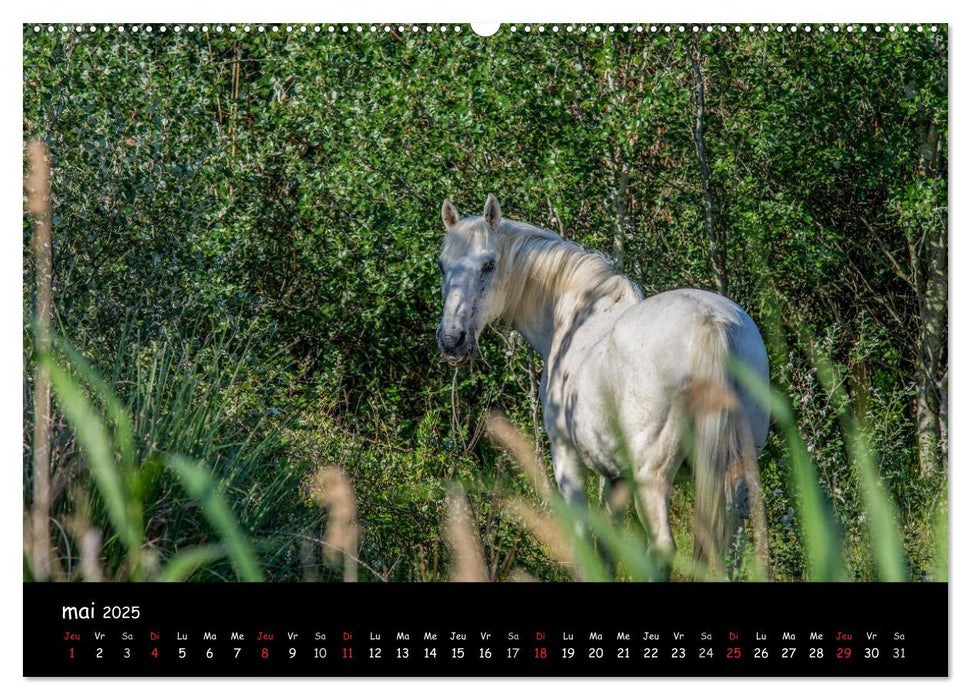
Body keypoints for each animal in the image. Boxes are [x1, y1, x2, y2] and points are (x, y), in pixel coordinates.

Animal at [436, 194, 772, 576]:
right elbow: (610, 546)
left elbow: (583, 540)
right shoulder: (615, 477)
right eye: (442, 266)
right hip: (733, 476)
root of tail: (710, 322)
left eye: (489, 265)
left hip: (652, 478)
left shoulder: (566, 456)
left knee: (662, 548)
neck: (576, 316)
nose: (452, 340)